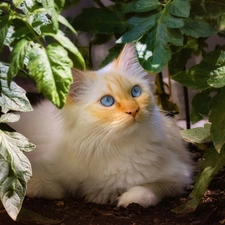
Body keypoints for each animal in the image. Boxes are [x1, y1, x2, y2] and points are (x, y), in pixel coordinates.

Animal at [9, 43, 192, 207]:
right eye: (107, 101)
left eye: (135, 91)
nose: (133, 110)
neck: (112, 145)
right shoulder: (32, 168)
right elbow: (45, 186)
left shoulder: (178, 175)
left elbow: (149, 188)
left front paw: (125, 199)